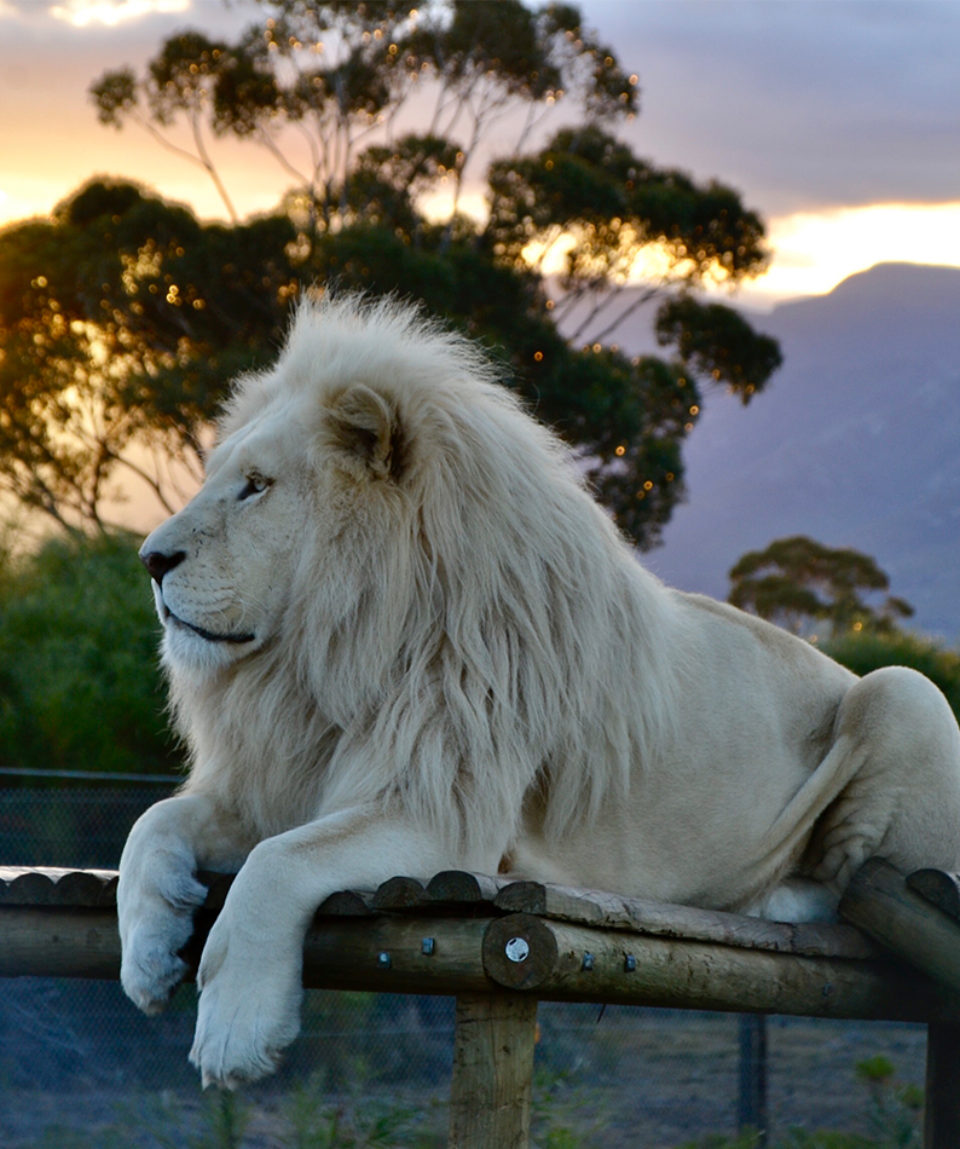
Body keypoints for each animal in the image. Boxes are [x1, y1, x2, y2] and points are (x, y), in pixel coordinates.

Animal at [118, 289, 960, 1084]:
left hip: (905, 692)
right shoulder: (282, 781)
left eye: (255, 486)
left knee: (860, 885)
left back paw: (769, 893)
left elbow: (278, 862)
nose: (150, 559)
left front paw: (234, 1031)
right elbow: (153, 824)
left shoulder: (448, 815)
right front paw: (147, 956)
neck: (323, 659)